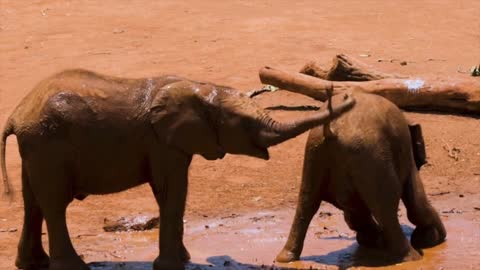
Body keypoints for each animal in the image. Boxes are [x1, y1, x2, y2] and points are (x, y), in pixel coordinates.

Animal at [0, 69, 352, 270]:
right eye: (243, 122)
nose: (341, 95)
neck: (202, 90)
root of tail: (16, 114)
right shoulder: (162, 142)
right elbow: (171, 189)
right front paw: (173, 265)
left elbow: (171, 192)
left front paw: (183, 260)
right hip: (48, 144)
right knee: (54, 204)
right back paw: (73, 267)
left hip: (38, 147)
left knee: (34, 203)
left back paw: (33, 264)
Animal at [276, 92, 448, 264]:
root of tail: (332, 129)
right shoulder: (405, 155)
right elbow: (416, 202)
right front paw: (432, 238)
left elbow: (353, 211)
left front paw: (373, 240)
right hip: (370, 155)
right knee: (386, 207)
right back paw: (412, 257)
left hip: (315, 152)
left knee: (307, 203)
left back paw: (285, 258)